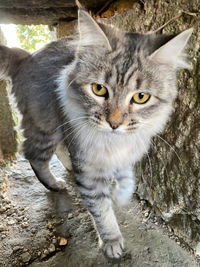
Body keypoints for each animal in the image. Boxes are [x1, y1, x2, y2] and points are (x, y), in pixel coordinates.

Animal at [0, 3, 191, 260]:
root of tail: (27, 57)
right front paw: (111, 241)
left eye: (141, 97)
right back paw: (54, 184)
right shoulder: (88, 164)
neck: (114, 143)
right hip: (46, 128)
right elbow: (100, 209)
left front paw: (120, 194)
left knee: (59, 149)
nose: (114, 123)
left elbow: (124, 180)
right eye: (99, 89)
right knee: (33, 155)